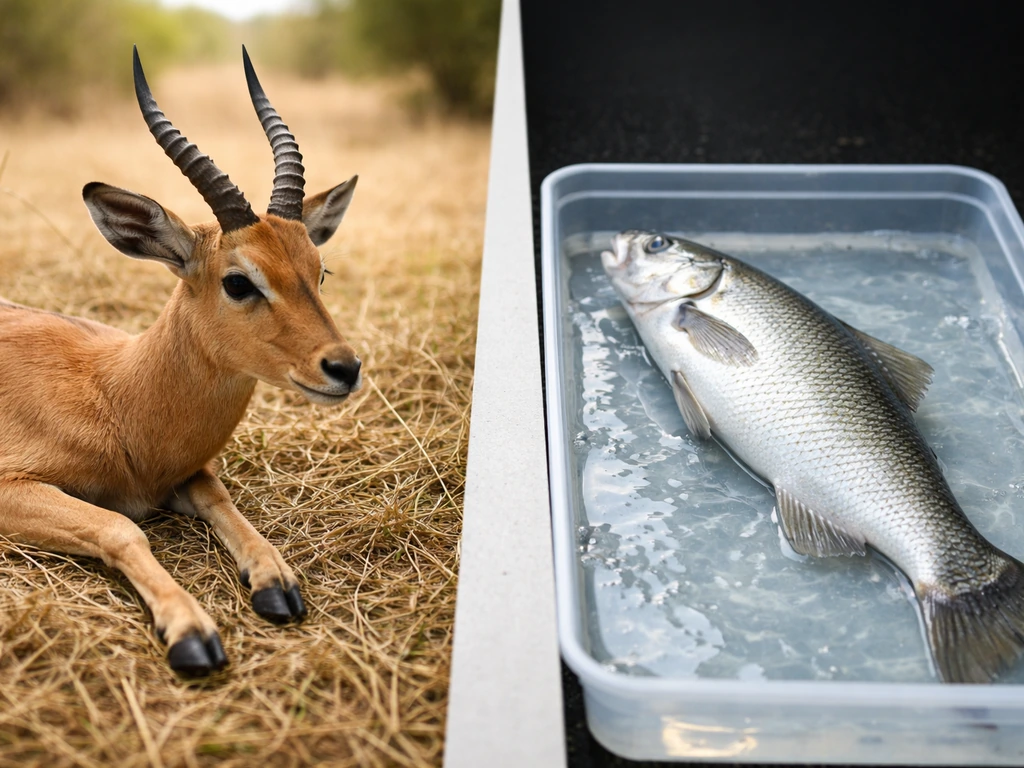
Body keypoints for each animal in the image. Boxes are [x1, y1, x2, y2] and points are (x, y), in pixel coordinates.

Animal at [0, 47, 361, 675]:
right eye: (239, 281)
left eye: (319, 271)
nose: (344, 368)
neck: (118, 397)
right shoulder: (11, 486)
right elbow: (120, 527)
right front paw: (192, 631)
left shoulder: (186, 473)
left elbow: (221, 497)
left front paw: (277, 582)